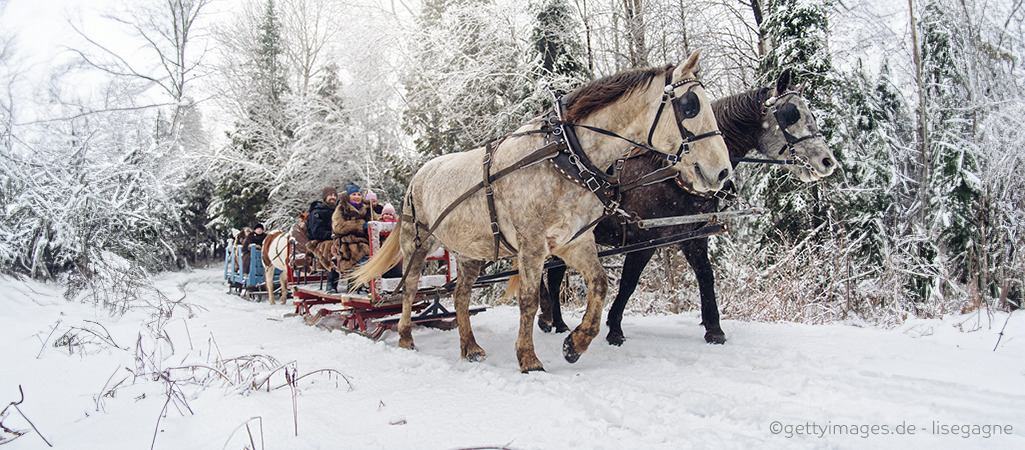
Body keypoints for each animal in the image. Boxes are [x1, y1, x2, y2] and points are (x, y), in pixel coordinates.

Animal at [537, 69, 832, 344]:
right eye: (791, 114)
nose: (828, 161)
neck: (672, 174)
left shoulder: (694, 235)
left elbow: (706, 276)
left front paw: (714, 329)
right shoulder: (644, 239)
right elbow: (629, 283)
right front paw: (615, 329)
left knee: (554, 275)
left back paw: (555, 321)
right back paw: (553, 319)